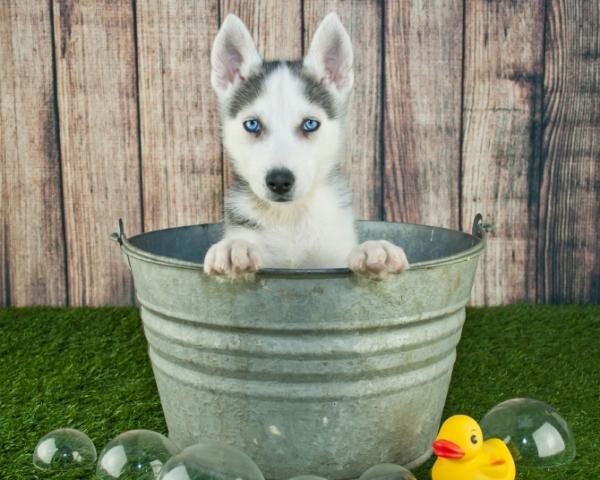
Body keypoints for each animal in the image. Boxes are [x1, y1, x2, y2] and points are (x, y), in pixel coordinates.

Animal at [204, 13, 410, 278]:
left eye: (310, 124)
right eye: (252, 124)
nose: (279, 181)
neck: (290, 218)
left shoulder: (332, 253)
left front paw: (373, 249)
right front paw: (234, 247)